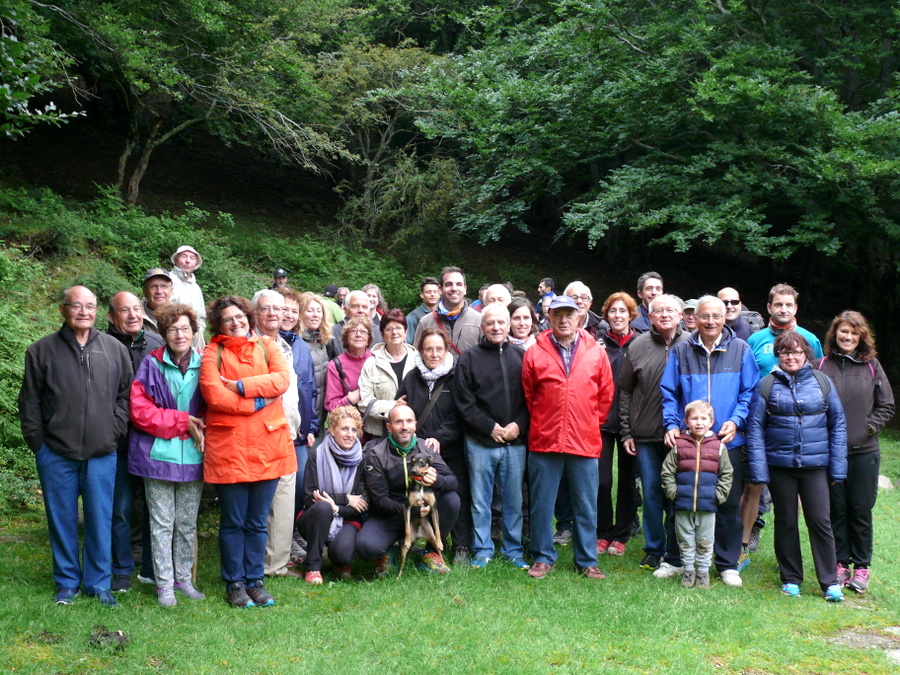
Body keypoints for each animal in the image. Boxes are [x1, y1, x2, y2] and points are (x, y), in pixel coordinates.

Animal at [400, 452, 444, 580]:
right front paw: (407, 540)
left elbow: (438, 529)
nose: (413, 471)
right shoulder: (407, 508)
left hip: (432, 538)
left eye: (422, 462)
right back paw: (398, 576)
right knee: (402, 563)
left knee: (439, 552)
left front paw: (440, 542)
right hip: (403, 549)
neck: (421, 486)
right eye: (412, 461)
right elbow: (407, 529)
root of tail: (419, 535)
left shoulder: (433, 508)